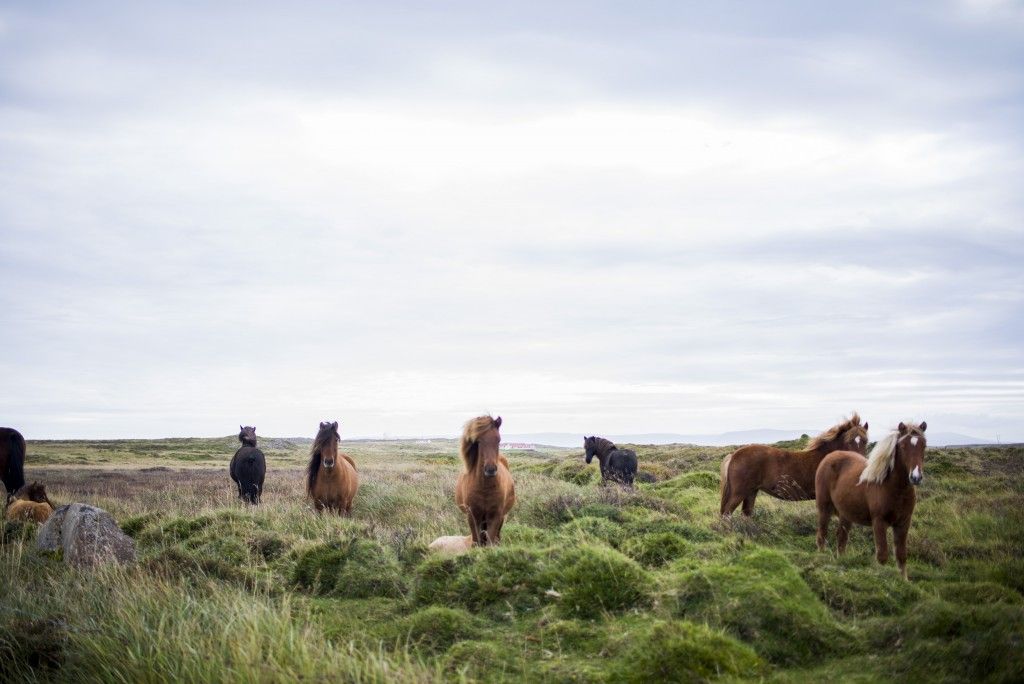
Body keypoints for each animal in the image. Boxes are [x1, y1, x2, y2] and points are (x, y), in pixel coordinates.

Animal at [716, 413, 868, 516]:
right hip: (739, 493)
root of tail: (734, 455)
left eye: (865, 441)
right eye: (849, 441)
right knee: (726, 513)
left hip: (751, 492)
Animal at [815, 419, 929, 581]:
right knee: (822, 535)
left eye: (923, 445)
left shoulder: (903, 523)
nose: (916, 477)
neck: (895, 489)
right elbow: (882, 556)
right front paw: (882, 579)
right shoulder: (879, 522)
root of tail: (830, 456)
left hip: (846, 515)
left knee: (841, 538)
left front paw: (904, 581)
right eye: (903, 446)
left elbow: (901, 555)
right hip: (824, 508)